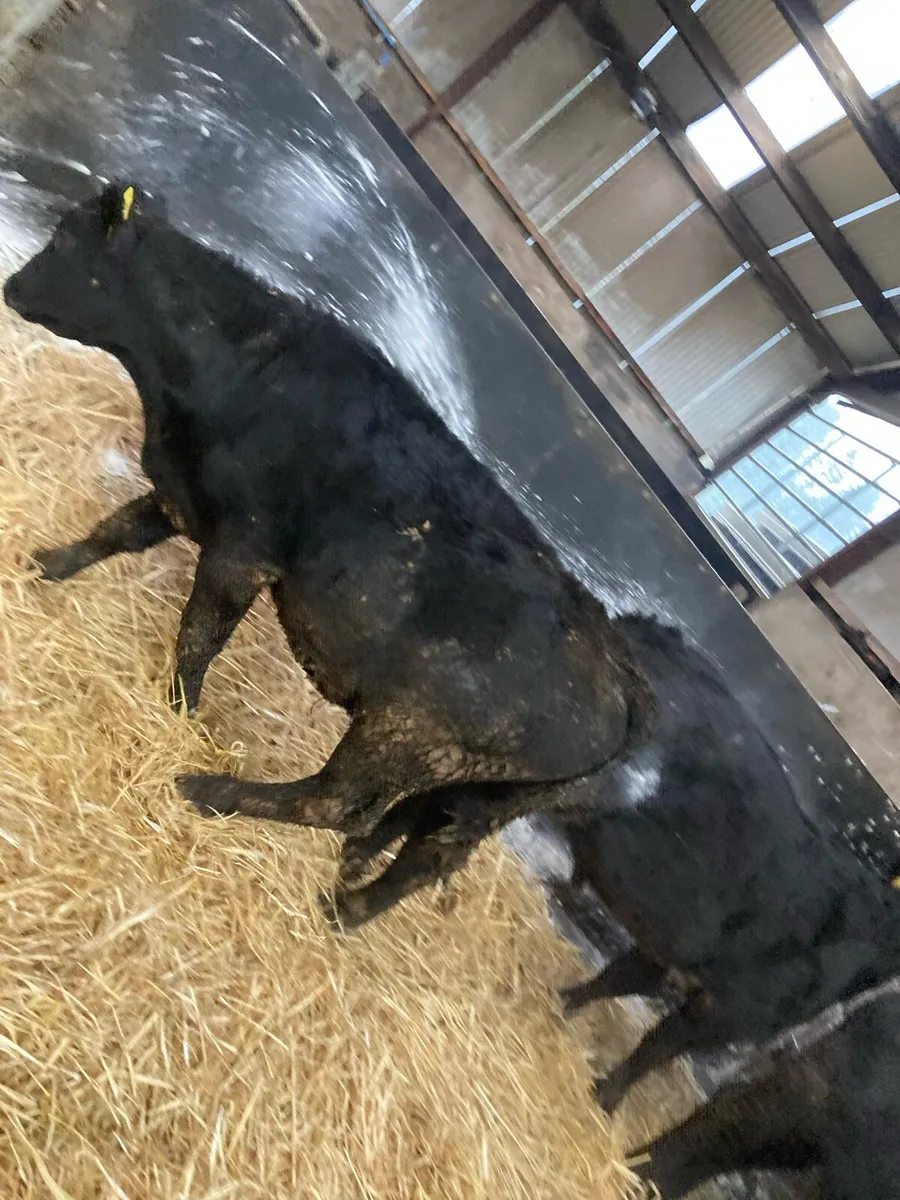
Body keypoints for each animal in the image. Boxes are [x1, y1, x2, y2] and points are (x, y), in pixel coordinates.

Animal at [3, 181, 653, 867]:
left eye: (63, 239)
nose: (12, 286)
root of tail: (623, 675)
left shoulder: (244, 545)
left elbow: (199, 633)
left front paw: (178, 710)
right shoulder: (187, 494)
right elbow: (116, 531)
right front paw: (45, 565)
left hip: (403, 733)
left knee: (335, 802)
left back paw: (211, 789)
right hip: (467, 786)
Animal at [328, 616, 900, 1114]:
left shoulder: (681, 964)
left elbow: (624, 985)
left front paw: (566, 1009)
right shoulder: (731, 1011)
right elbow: (658, 1044)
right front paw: (606, 1098)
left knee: (428, 805)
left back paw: (356, 860)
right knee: (435, 833)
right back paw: (353, 899)